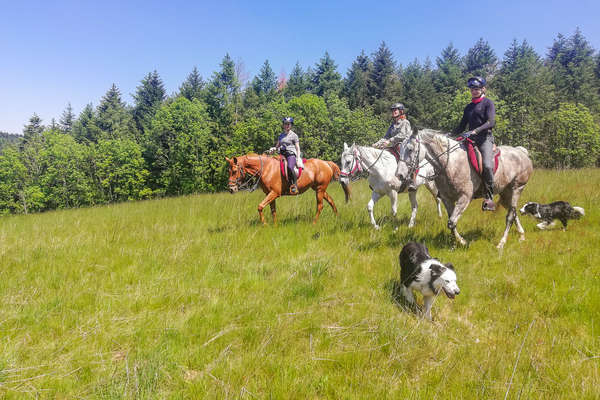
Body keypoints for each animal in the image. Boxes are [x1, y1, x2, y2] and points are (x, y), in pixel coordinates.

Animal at [396, 129, 532, 247]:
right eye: (400, 149)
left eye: (410, 149)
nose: (399, 175)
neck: (451, 164)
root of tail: (521, 152)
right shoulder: (447, 199)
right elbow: (451, 222)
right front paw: (456, 242)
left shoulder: (465, 197)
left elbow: (451, 222)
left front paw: (463, 242)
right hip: (506, 193)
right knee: (513, 212)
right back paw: (521, 236)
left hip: (516, 189)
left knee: (510, 216)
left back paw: (501, 243)